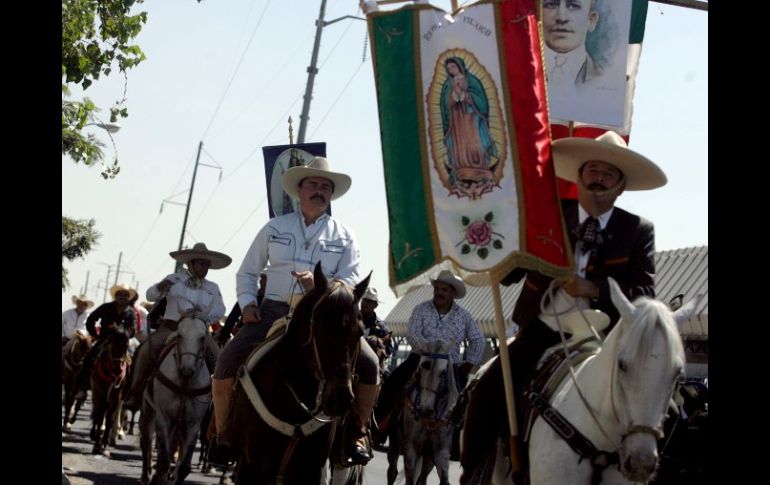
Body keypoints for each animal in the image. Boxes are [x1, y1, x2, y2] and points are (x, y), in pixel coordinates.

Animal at [139, 316, 212, 482]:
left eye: (202, 337)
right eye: (179, 335)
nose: (187, 370)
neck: (184, 384)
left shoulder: (193, 425)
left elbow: (183, 467)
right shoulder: (163, 419)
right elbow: (163, 463)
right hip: (148, 412)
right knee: (146, 442)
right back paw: (146, 476)